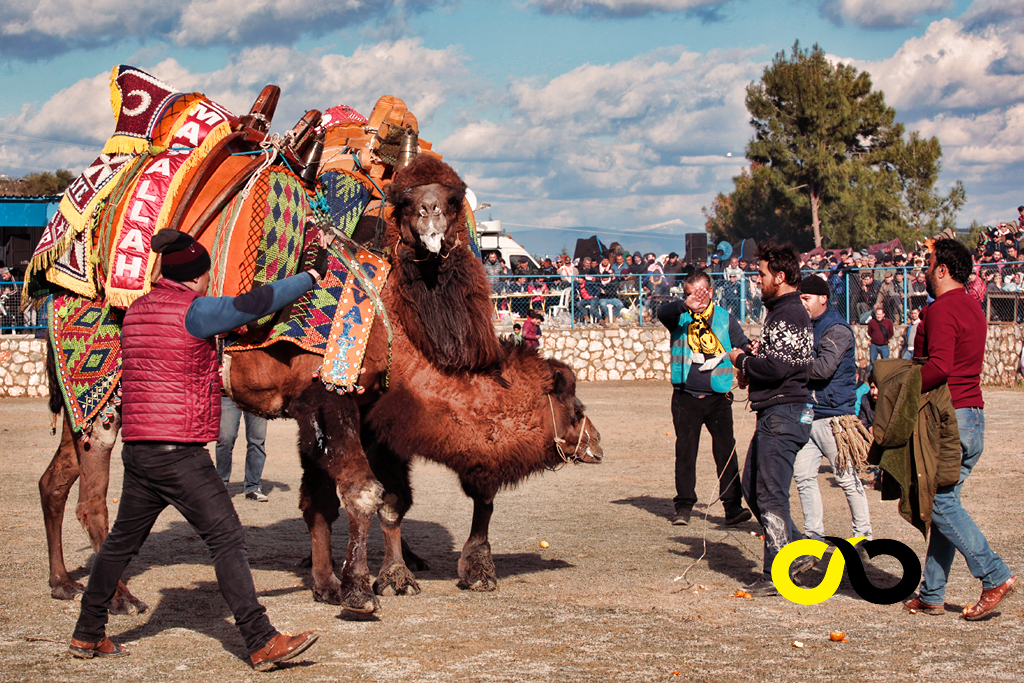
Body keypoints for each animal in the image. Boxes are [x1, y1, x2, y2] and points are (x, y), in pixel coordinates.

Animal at [36, 66, 602, 618]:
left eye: (453, 200)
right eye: (575, 407)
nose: (595, 444)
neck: (393, 327)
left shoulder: (348, 405)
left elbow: (344, 499)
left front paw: (354, 581)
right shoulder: (331, 395)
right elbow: (362, 493)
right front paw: (359, 590)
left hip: (81, 394)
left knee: (55, 479)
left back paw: (63, 582)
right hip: (103, 380)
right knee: (93, 496)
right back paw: (120, 598)